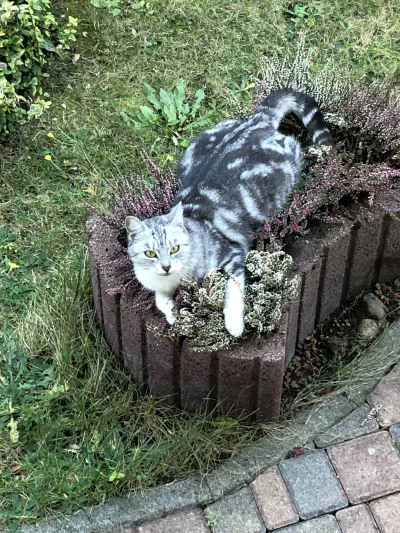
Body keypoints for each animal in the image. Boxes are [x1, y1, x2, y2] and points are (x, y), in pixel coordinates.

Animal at [126, 88, 332, 336]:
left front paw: (234, 326)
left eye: (175, 249)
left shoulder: (233, 255)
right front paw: (172, 313)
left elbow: (232, 292)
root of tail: (255, 121)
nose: (166, 266)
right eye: (150, 254)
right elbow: (160, 301)